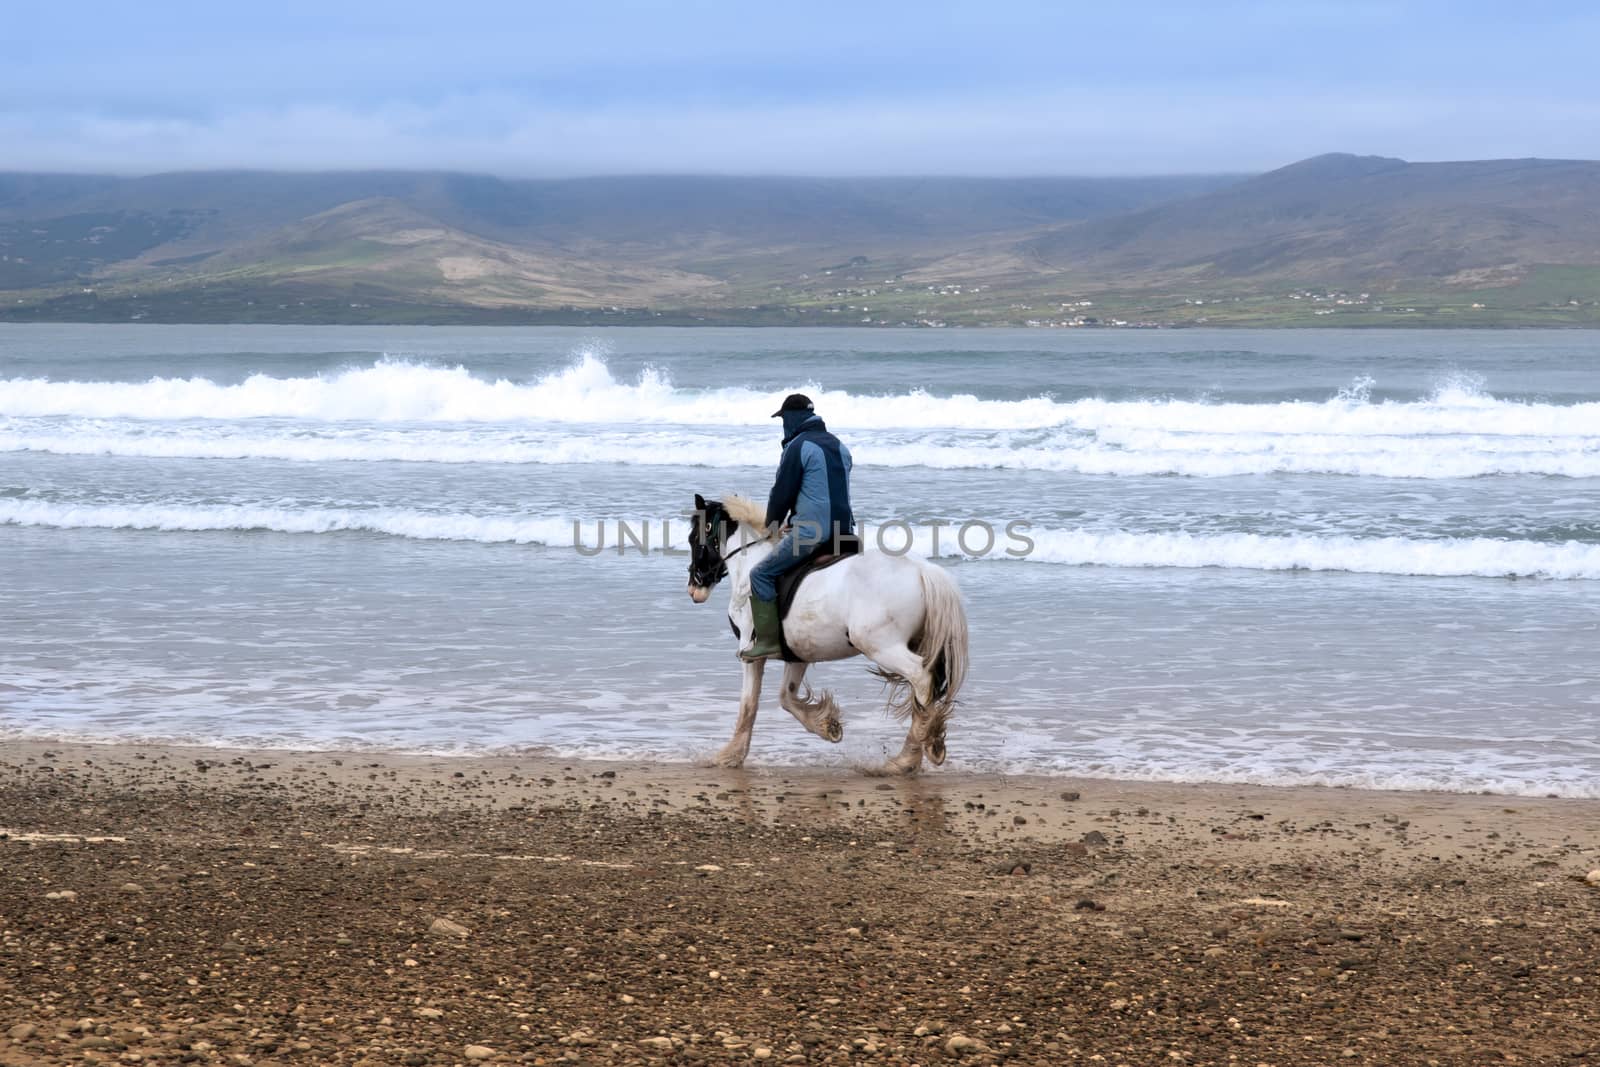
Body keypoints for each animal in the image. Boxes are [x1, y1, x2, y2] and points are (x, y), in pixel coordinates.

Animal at [681, 492, 966, 777]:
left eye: (694, 538)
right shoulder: (798, 654)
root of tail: (922, 570)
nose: (694, 588)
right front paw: (828, 726)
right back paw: (932, 741)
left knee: (921, 678)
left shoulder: (750, 653)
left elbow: (749, 705)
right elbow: (786, 696)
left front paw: (729, 756)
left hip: (882, 647)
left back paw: (907, 758)